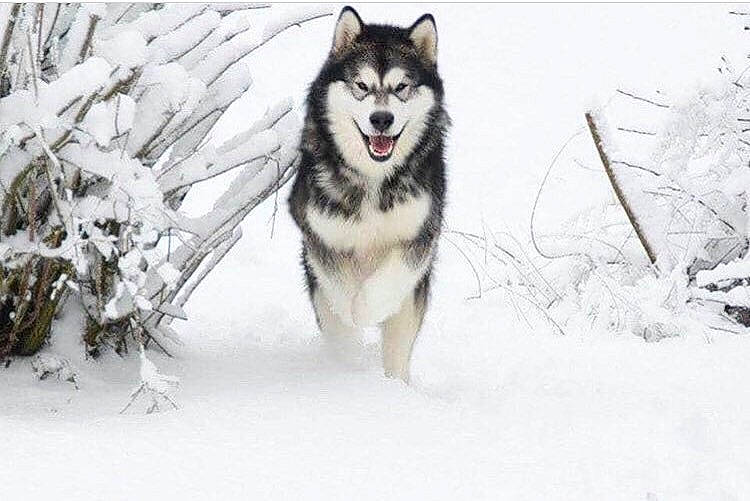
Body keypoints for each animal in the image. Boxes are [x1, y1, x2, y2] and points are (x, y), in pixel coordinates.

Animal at [289, 6, 448, 382]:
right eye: (362, 85)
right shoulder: (317, 230)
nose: (381, 119)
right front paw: (352, 312)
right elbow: (336, 282)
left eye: (401, 87)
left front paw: (366, 308)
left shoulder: (421, 233)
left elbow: (393, 278)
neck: (374, 181)